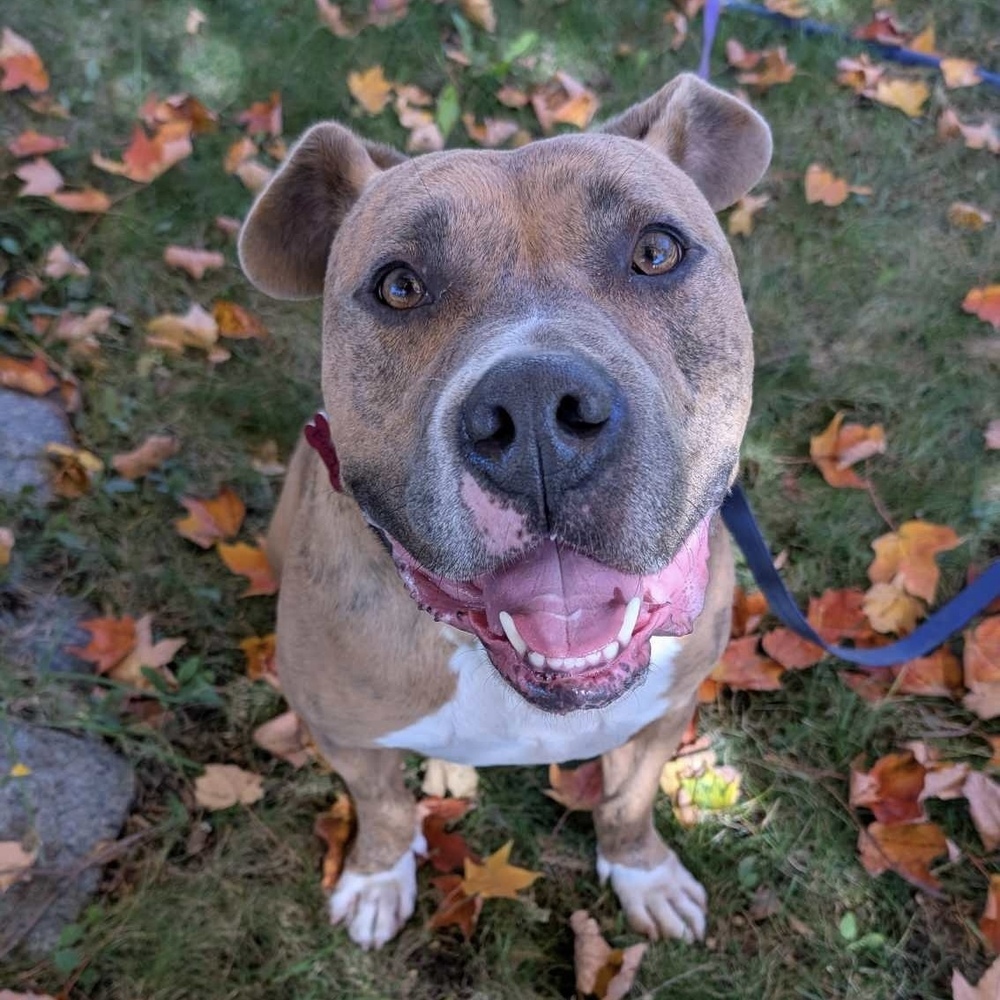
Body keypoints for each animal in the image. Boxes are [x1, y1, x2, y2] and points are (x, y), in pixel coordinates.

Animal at [238, 72, 768, 952]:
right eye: (398, 286)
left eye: (656, 251)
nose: (535, 409)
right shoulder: (342, 731)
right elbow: (384, 807)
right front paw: (378, 876)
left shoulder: (665, 714)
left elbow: (628, 800)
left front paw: (645, 873)